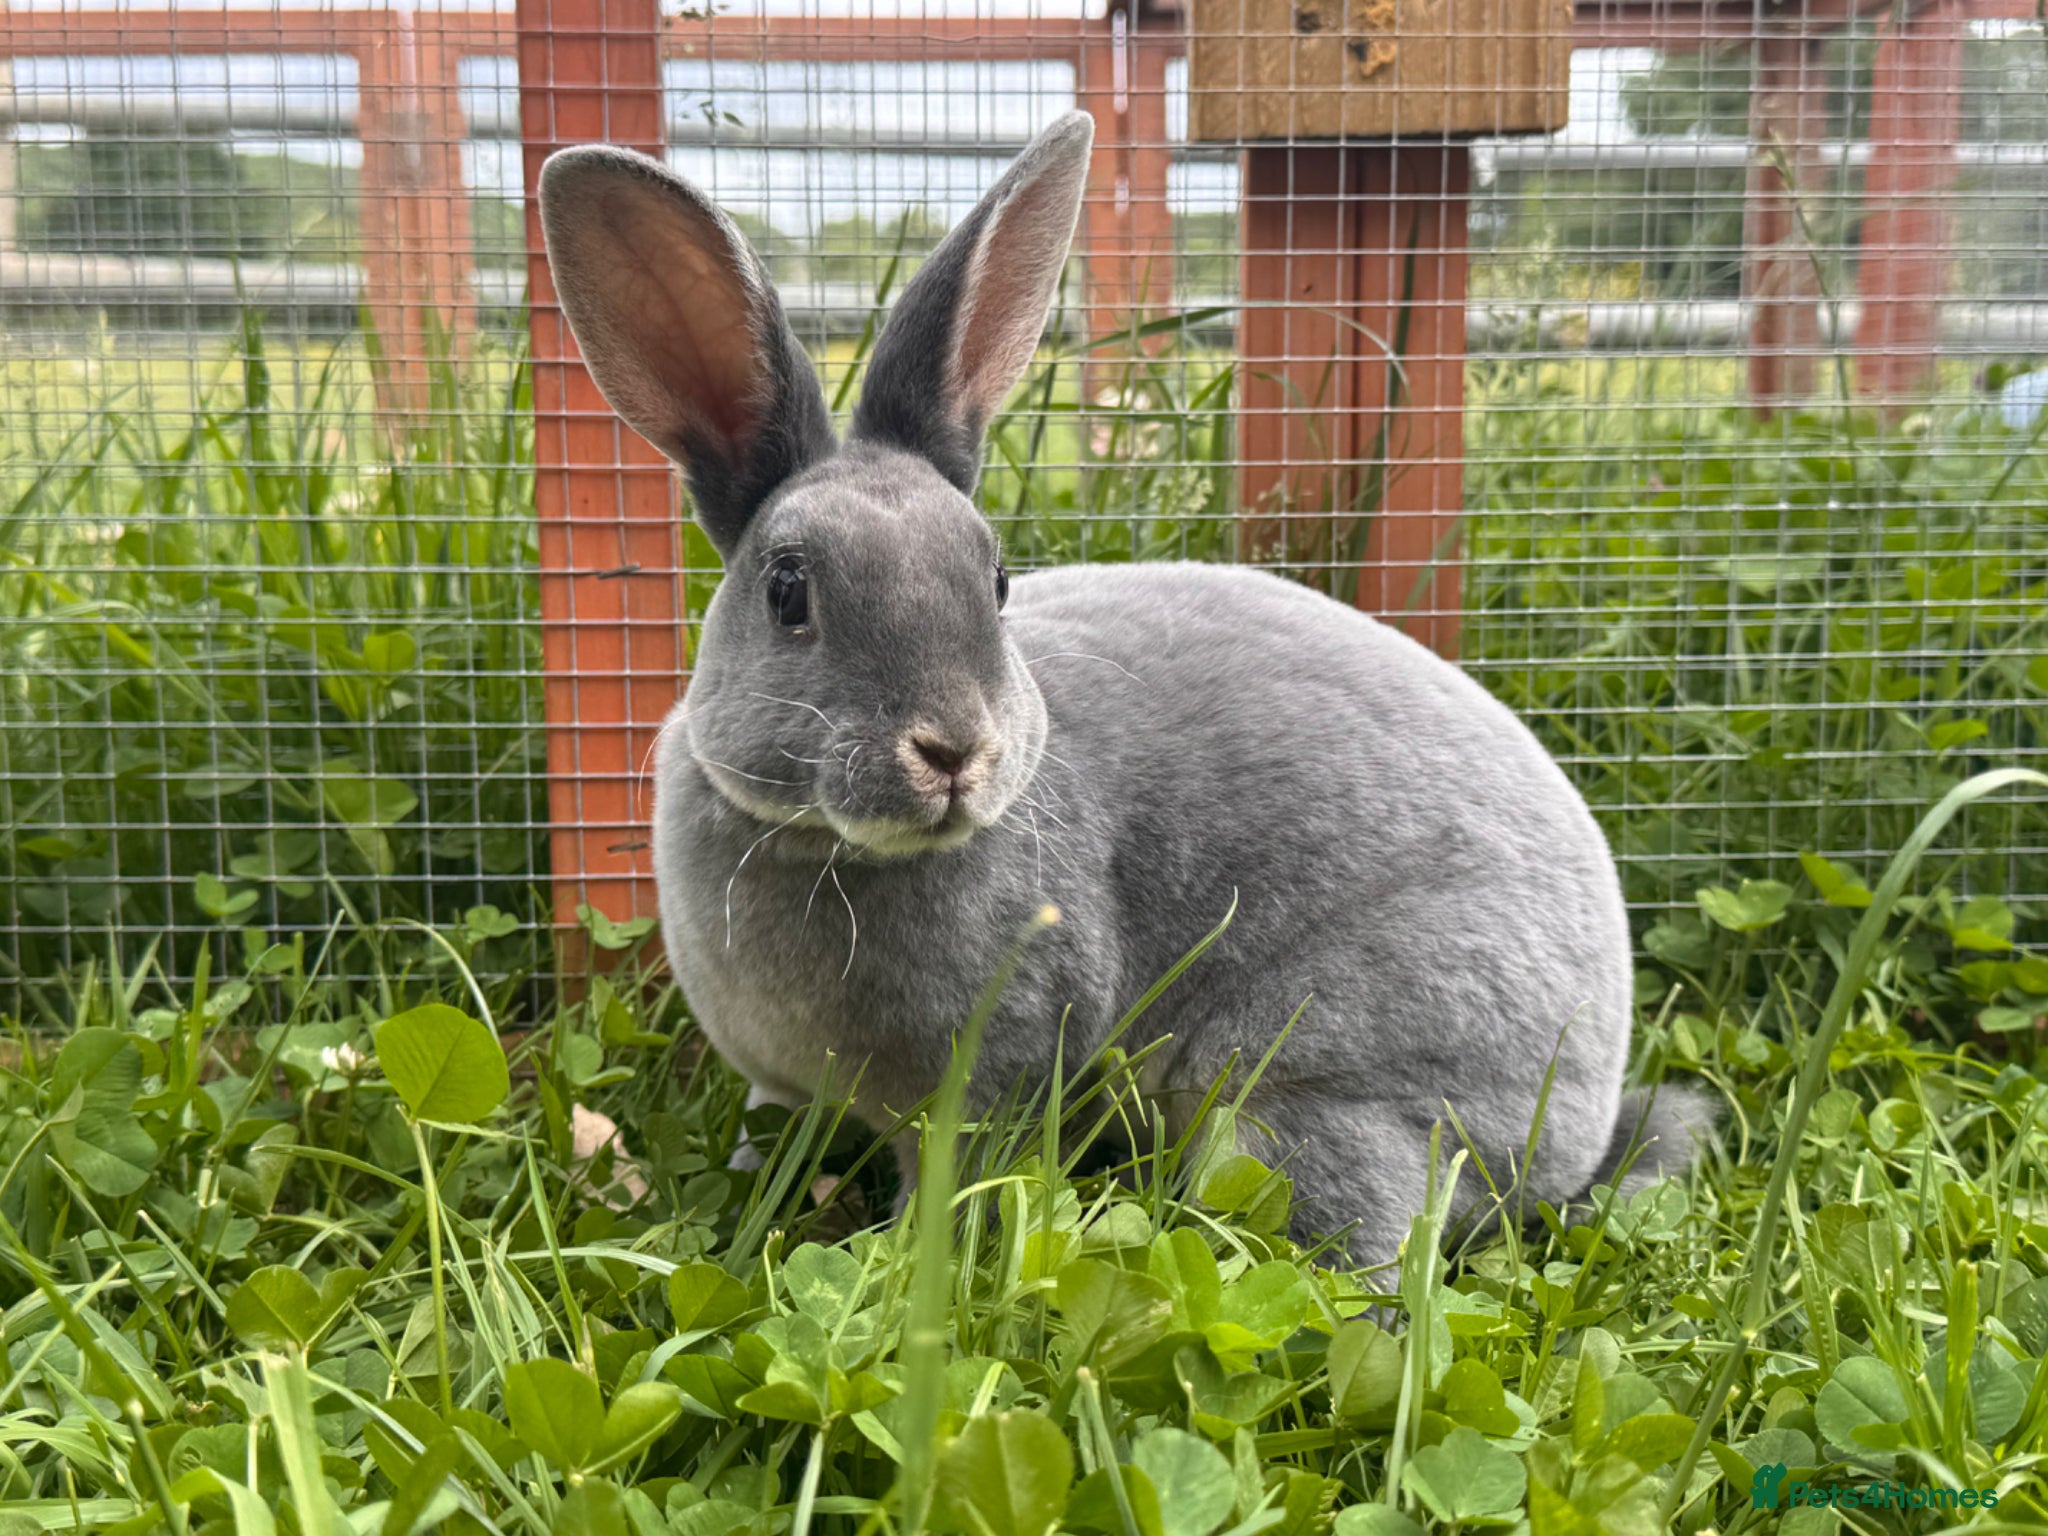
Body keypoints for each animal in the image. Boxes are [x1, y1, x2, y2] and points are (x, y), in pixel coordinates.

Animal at [537, 112, 1712, 1268]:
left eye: (996, 579)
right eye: (788, 592)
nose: (954, 751)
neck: (824, 847)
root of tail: (1577, 1120)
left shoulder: (996, 1069)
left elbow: (957, 1177)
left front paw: (914, 1262)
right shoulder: (777, 1083)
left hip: (1316, 1101)